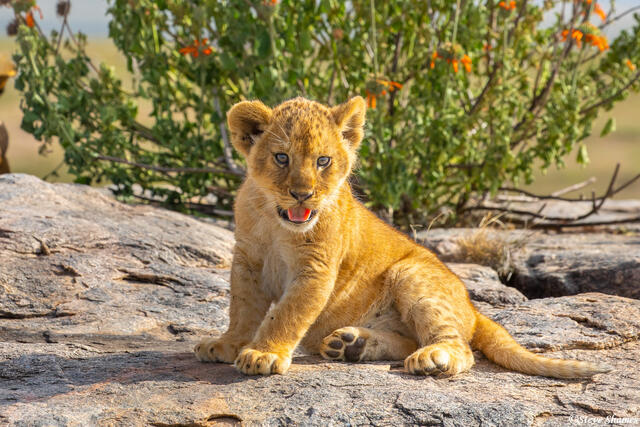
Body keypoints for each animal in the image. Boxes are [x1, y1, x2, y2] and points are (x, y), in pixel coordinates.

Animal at [194, 96, 611, 378]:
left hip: (411, 274)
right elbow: (243, 309)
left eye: (323, 161)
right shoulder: (247, 260)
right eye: (282, 158)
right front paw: (228, 344)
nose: (302, 194)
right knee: (410, 339)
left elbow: (286, 313)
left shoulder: (316, 268)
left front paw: (263, 354)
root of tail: (473, 307)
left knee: (458, 348)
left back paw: (432, 359)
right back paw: (352, 346)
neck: (275, 221)